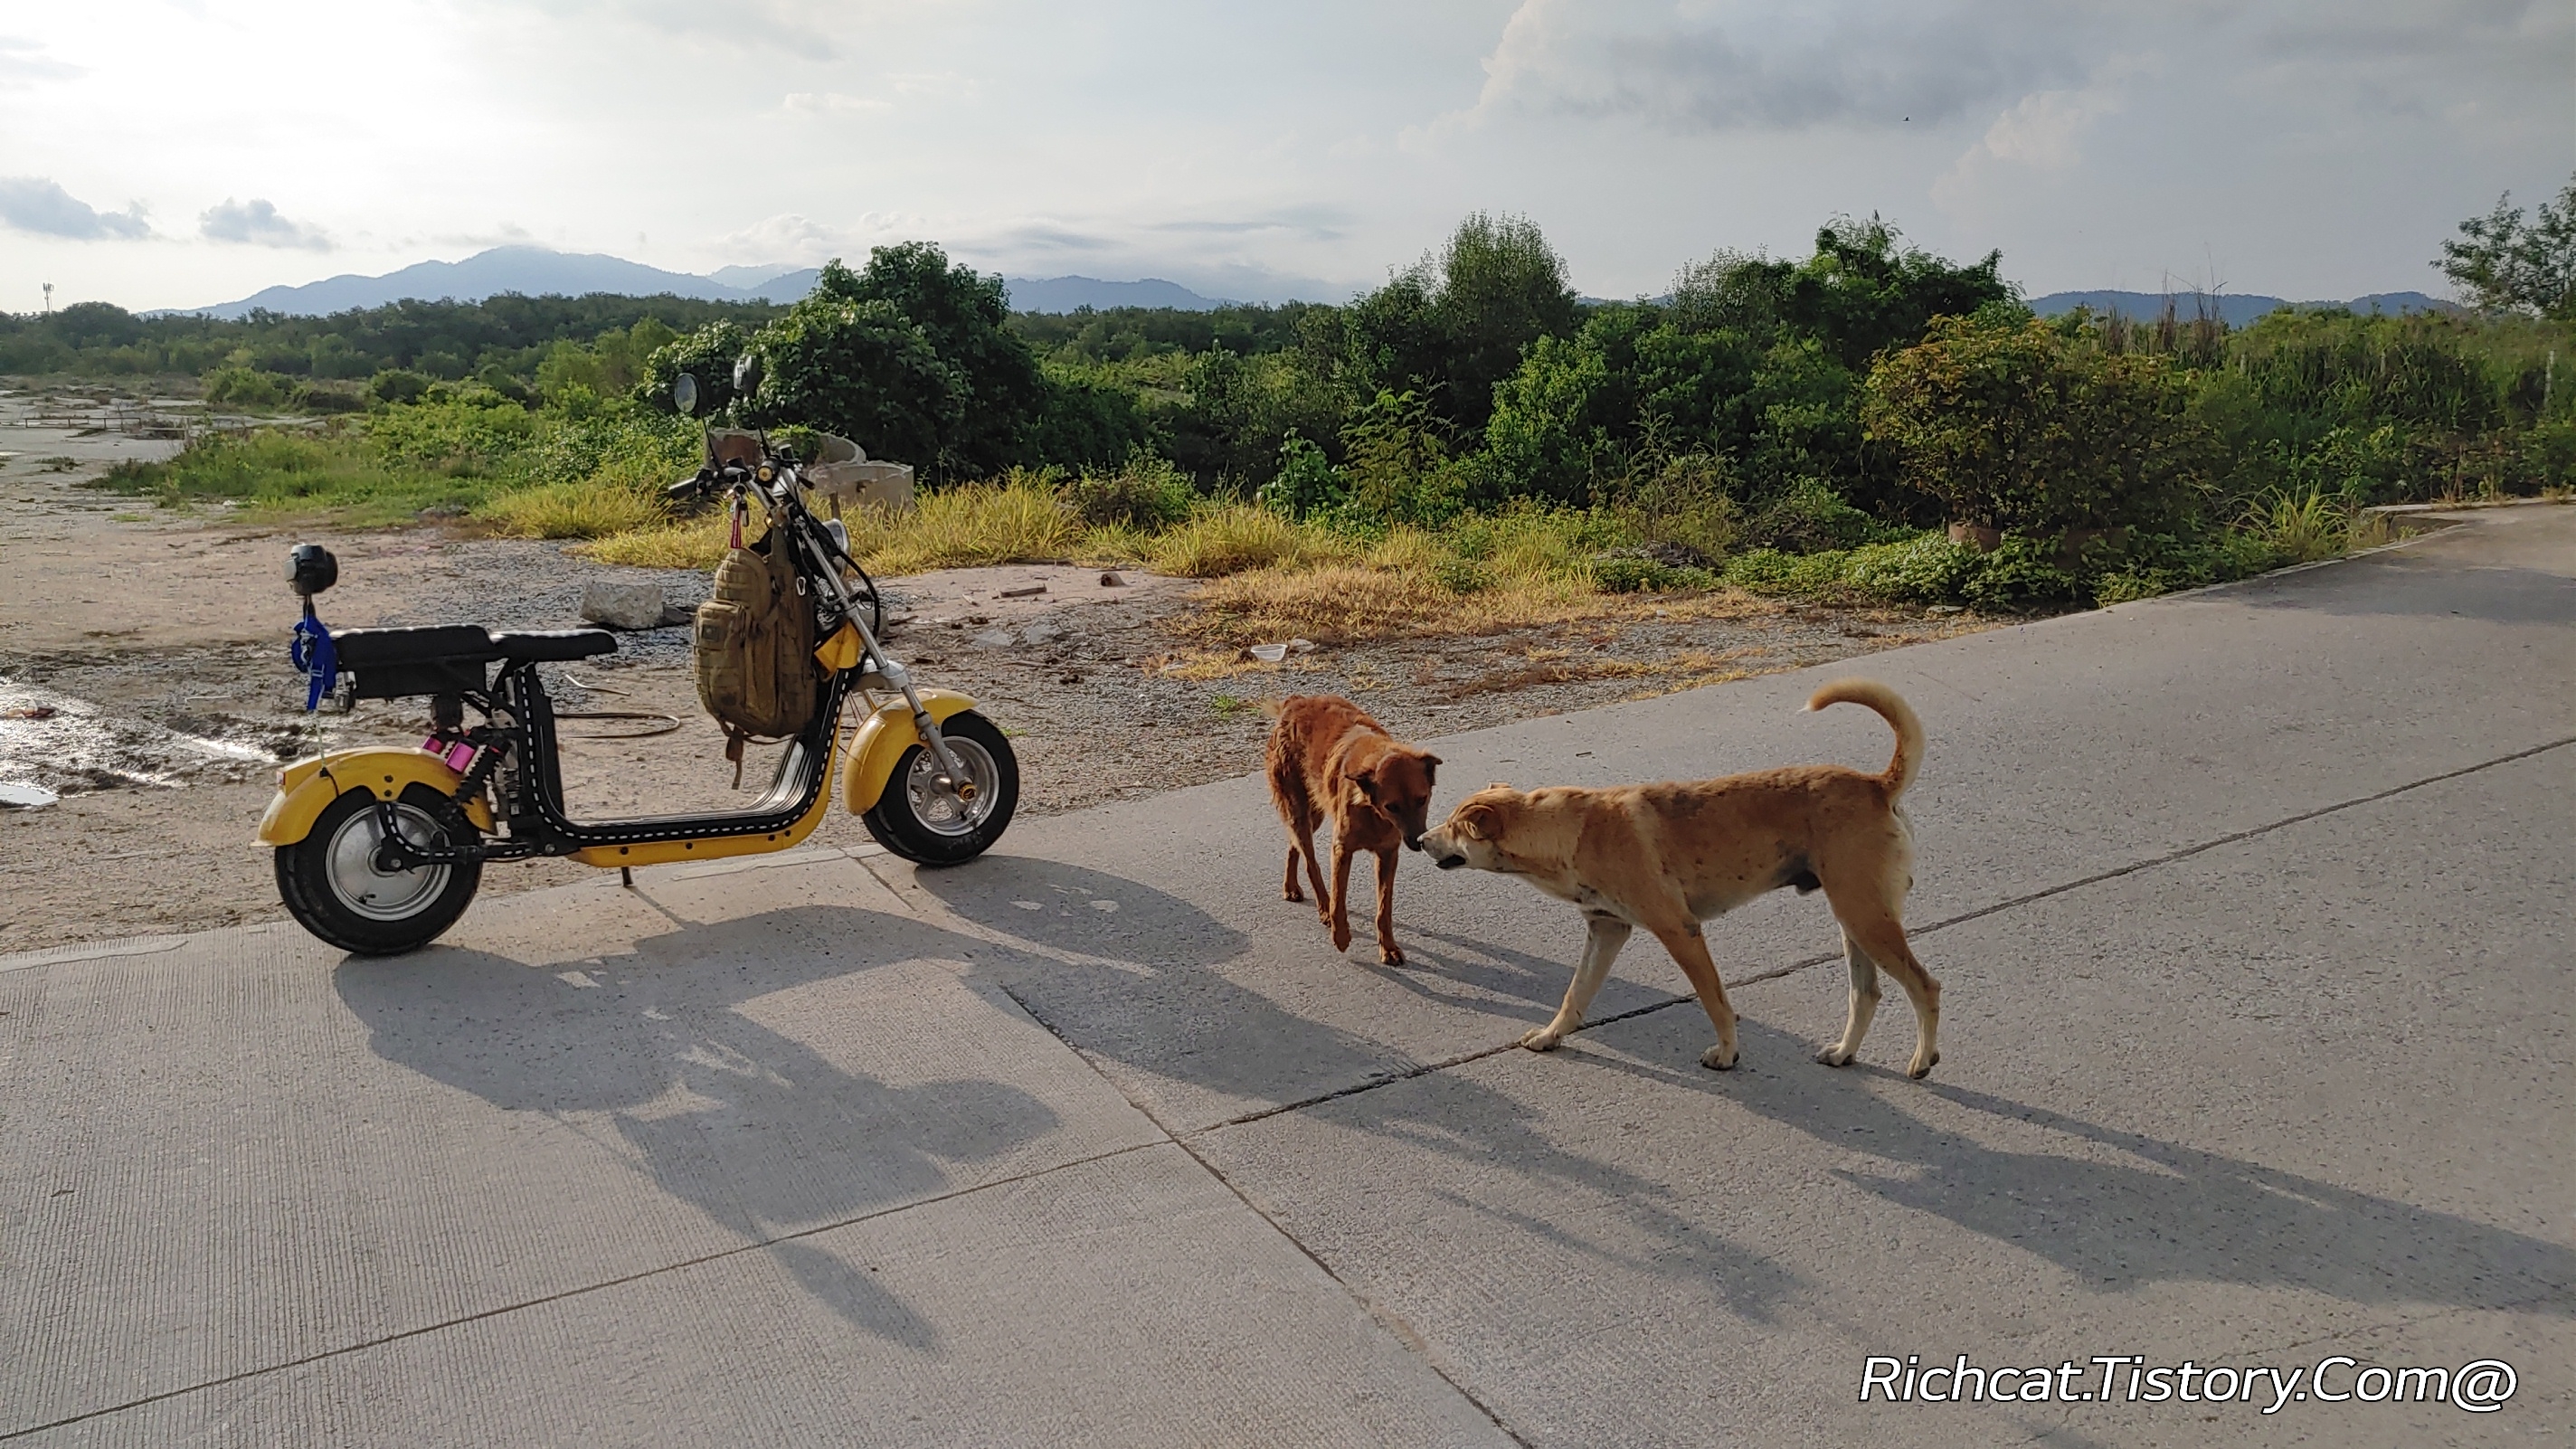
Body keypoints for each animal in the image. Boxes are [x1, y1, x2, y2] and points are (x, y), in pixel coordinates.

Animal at [1264, 694, 1441, 965]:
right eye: (1392, 806)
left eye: (1422, 799)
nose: (1417, 842)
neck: (1372, 811)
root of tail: (1296, 701)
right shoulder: (1342, 849)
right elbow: (1339, 899)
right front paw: (1340, 936)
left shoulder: (1388, 854)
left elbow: (1384, 908)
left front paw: (1388, 947)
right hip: (1299, 808)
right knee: (1310, 862)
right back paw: (1323, 908)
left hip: (1314, 811)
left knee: (1293, 844)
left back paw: (1290, 886)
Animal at [1416, 678, 1941, 1078]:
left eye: (1454, 826)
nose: (1420, 839)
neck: (1571, 831)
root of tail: (1876, 785)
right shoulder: (1606, 930)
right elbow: (1574, 995)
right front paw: (1550, 1036)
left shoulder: (1679, 930)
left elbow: (1715, 1001)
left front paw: (1727, 1053)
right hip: (1854, 918)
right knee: (1866, 993)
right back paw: (1844, 1052)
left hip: (1864, 915)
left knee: (1924, 985)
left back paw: (1921, 1060)